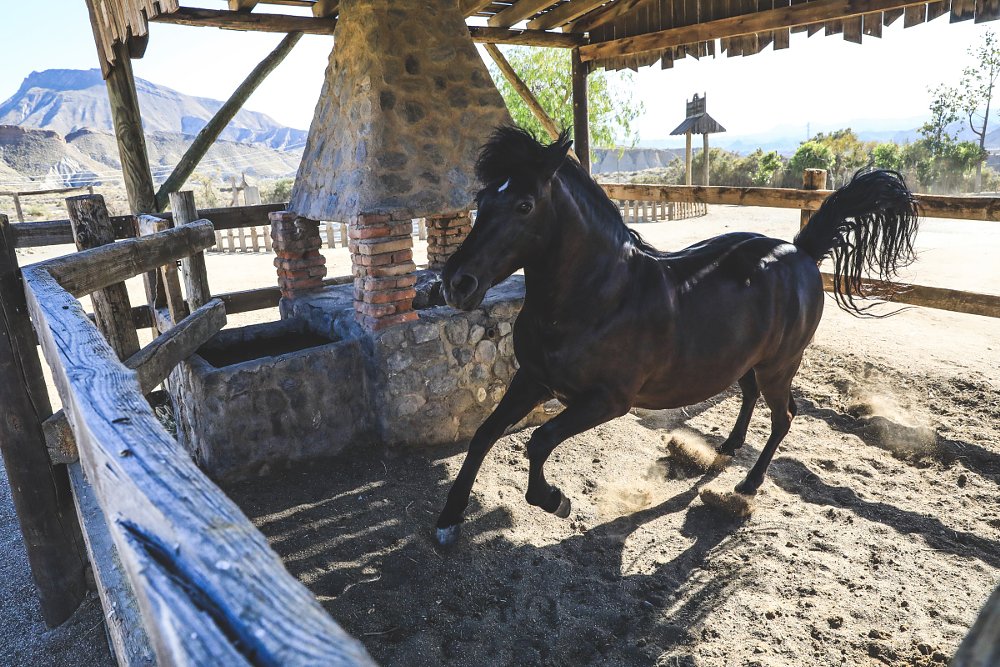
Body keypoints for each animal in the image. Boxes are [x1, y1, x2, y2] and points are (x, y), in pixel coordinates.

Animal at [434, 126, 918, 546]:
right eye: (482, 199)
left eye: (524, 205)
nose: (456, 283)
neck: (597, 298)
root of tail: (800, 250)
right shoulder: (533, 379)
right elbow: (484, 435)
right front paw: (448, 521)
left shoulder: (606, 401)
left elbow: (537, 441)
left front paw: (555, 500)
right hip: (743, 361)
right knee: (749, 397)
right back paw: (728, 447)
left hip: (778, 367)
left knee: (784, 416)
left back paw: (749, 482)